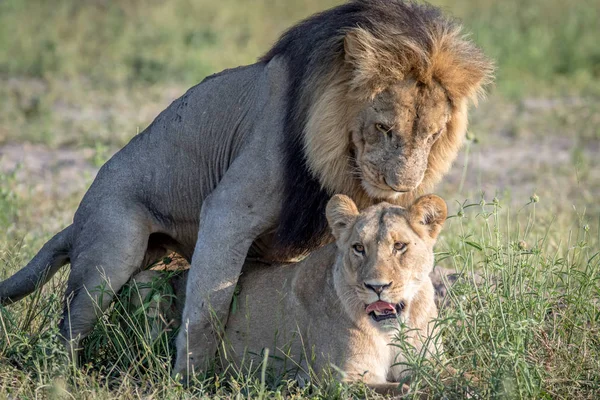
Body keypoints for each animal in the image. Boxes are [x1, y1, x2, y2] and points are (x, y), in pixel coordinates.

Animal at [131, 193, 446, 394]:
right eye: (359, 248)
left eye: (399, 246)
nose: (377, 287)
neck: (391, 330)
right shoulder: (339, 379)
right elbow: (404, 389)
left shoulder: (431, 361)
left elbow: (447, 375)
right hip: (146, 282)